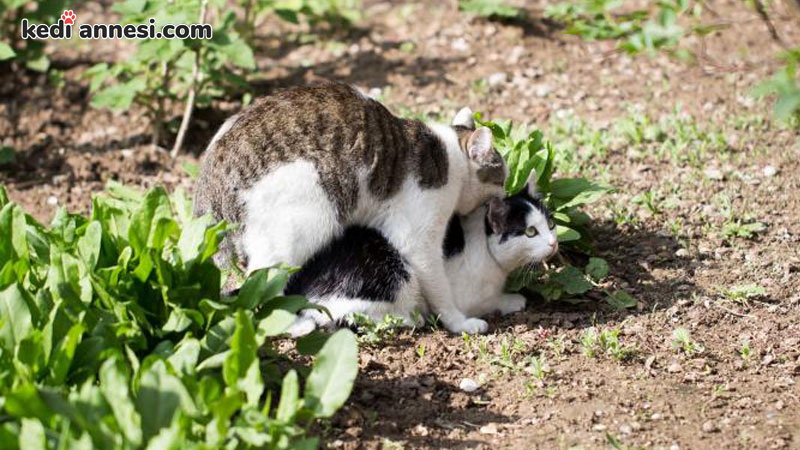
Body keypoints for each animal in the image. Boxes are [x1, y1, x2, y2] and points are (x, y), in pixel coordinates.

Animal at [194, 81, 506, 334]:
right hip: (307, 216)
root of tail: (208, 187)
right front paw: (460, 322)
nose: (505, 195)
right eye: (502, 178)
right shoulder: (418, 240)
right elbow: (440, 290)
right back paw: (293, 324)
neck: (449, 156)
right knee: (259, 284)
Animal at [286, 185, 556, 336]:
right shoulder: (464, 295)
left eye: (551, 224)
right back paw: (410, 318)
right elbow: (486, 301)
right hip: (396, 273)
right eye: (530, 232)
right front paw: (511, 300)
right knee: (344, 317)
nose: (554, 243)